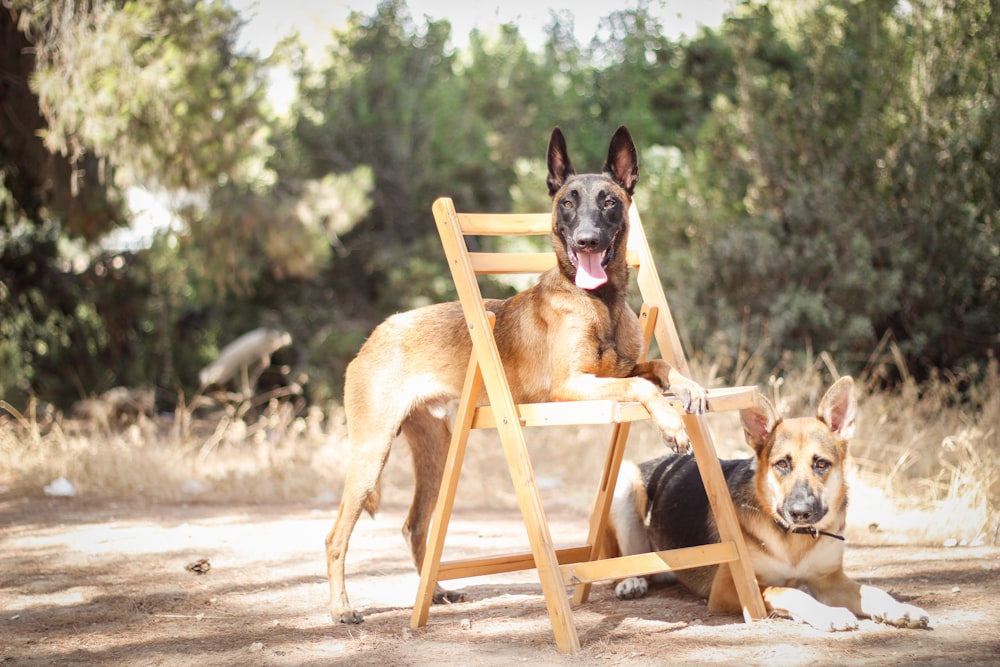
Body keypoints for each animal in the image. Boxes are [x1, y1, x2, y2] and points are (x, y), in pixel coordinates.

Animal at [328, 125, 712, 628]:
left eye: (609, 201)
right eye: (567, 202)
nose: (587, 241)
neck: (600, 302)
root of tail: (377, 332)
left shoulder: (622, 367)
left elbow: (660, 368)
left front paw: (691, 388)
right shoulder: (571, 386)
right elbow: (642, 385)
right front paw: (670, 423)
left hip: (438, 453)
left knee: (415, 526)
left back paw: (438, 593)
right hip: (372, 453)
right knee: (337, 536)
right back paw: (341, 608)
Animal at [608, 376, 928, 632]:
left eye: (821, 464)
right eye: (782, 464)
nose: (800, 513)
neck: (794, 540)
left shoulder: (830, 579)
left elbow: (872, 592)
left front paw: (900, 609)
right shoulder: (732, 588)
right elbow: (788, 591)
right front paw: (829, 614)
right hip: (624, 480)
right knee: (626, 560)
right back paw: (631, 581)